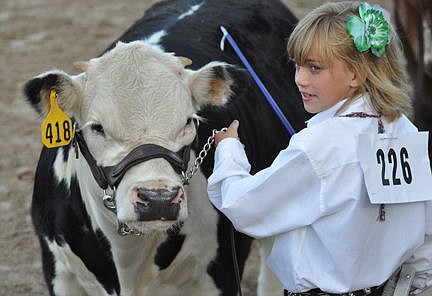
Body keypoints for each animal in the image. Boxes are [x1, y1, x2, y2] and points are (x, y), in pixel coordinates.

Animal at [23, 1, 308, 294]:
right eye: (97, 127)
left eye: (189, 121)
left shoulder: (223, 272)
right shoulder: (59, 270)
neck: (127, 258)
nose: (157, 199)